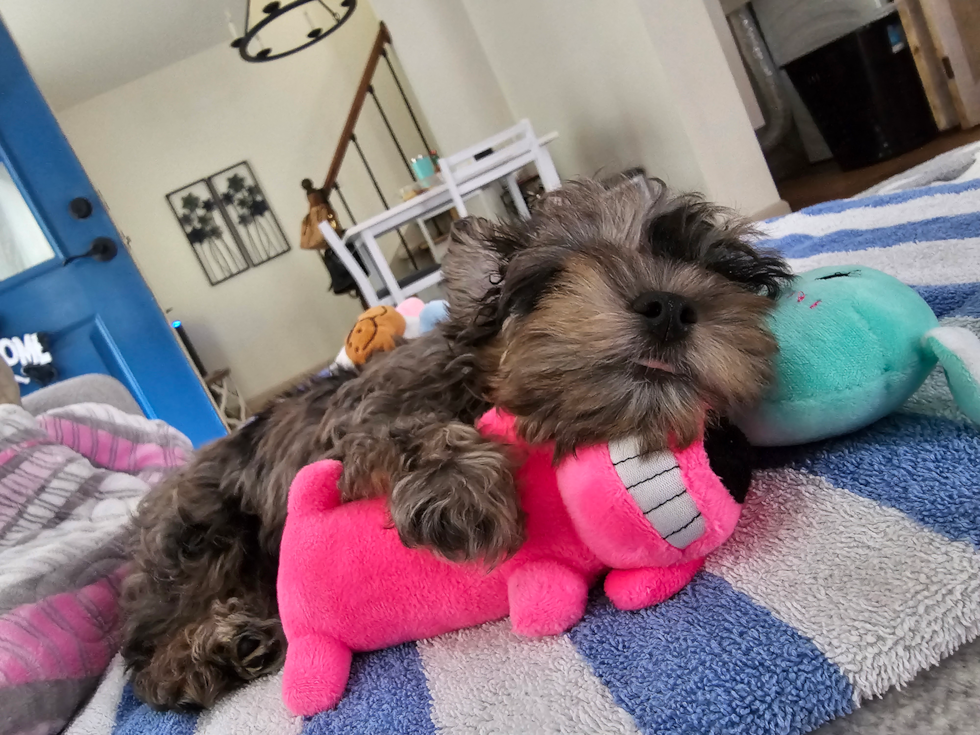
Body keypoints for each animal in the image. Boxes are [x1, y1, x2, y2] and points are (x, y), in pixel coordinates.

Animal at [122, 175, 792, 712]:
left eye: (720, 271)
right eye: (568, 266)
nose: (671, 307)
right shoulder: (364, 425)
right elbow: (408, 430)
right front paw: (459, 491)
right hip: (205, 542)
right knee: (144, 656)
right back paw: (210, 653)